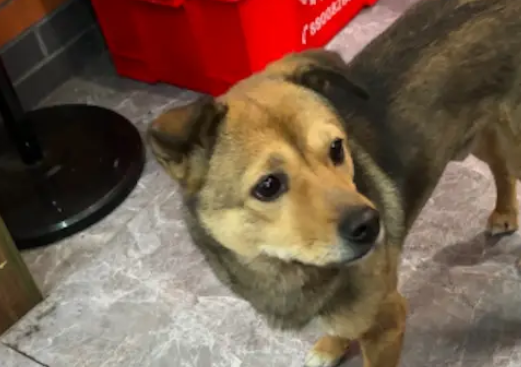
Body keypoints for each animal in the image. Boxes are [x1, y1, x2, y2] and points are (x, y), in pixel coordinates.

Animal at [145, 0, 520, 366]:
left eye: (337, 147)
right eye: (268, 186)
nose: (371, 224)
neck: (287, 266)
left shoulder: (387, 323)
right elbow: (339, 326)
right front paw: (331, 345)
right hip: (475, 135)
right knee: (498, 163)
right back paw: (505, 212)